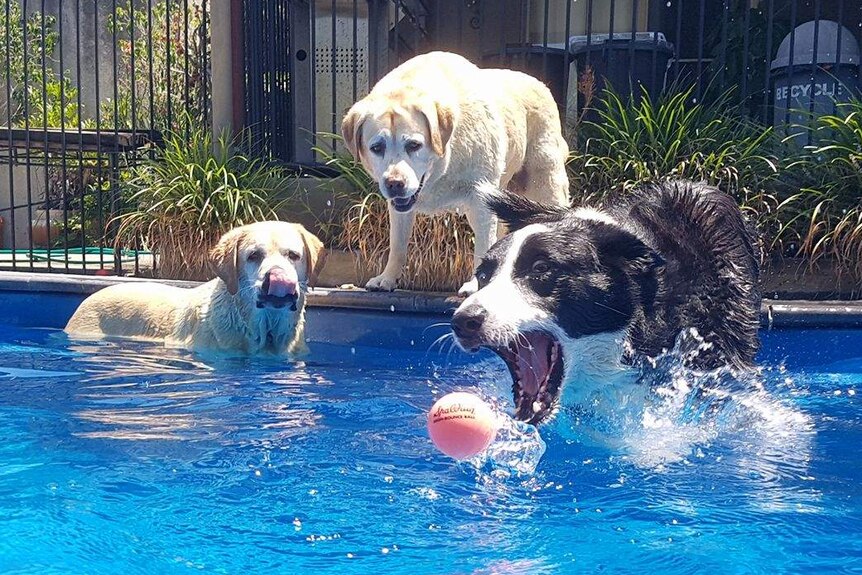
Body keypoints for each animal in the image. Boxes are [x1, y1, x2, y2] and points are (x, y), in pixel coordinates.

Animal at [340, 51, 572, 294]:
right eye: (377, 148)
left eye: (414, 145)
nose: (394, 183)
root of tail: (541, 84)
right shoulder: (400, 207)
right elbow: (398, 244)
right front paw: (387, 278)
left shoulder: (480, 200)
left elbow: (483, 245)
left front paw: (475, 284)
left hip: (545, 185)